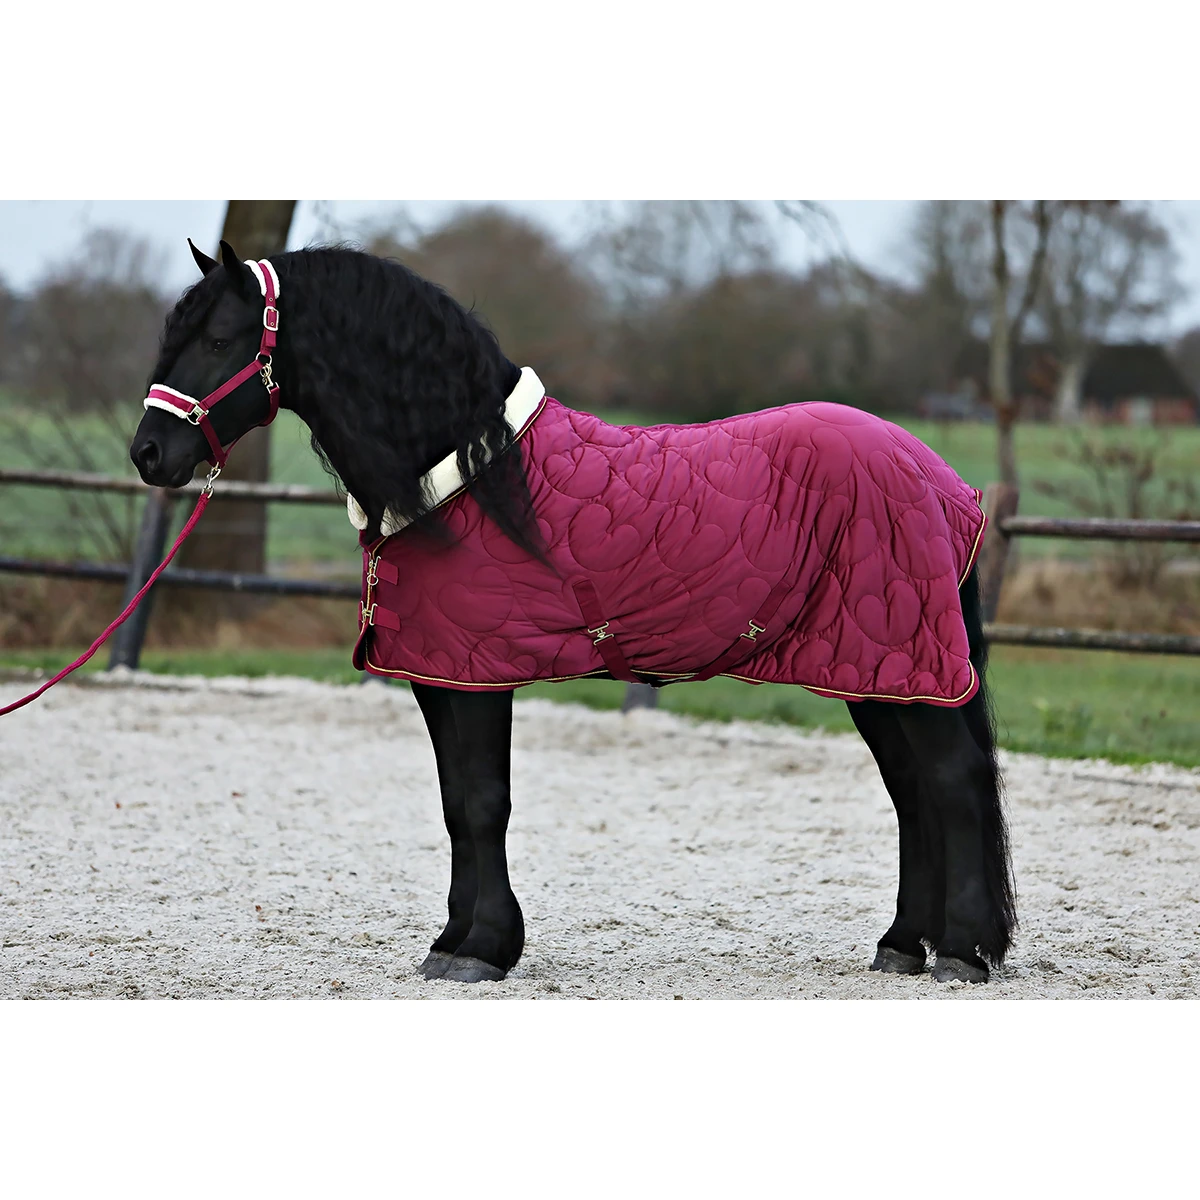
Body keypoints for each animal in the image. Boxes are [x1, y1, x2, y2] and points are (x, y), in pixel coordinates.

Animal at [129, 240, 1016, 986]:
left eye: (220, 339)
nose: (147, 454)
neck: (472, 478)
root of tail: (941, 479)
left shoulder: (479, 677)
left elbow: (484, 803)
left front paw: (484, 949)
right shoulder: (437, 674)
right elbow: (456, 808)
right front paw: (453, 942)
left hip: (905, 659)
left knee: (955, 780)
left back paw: (962, 952)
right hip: (876, 670)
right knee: (912, 791)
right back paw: (904, 944)